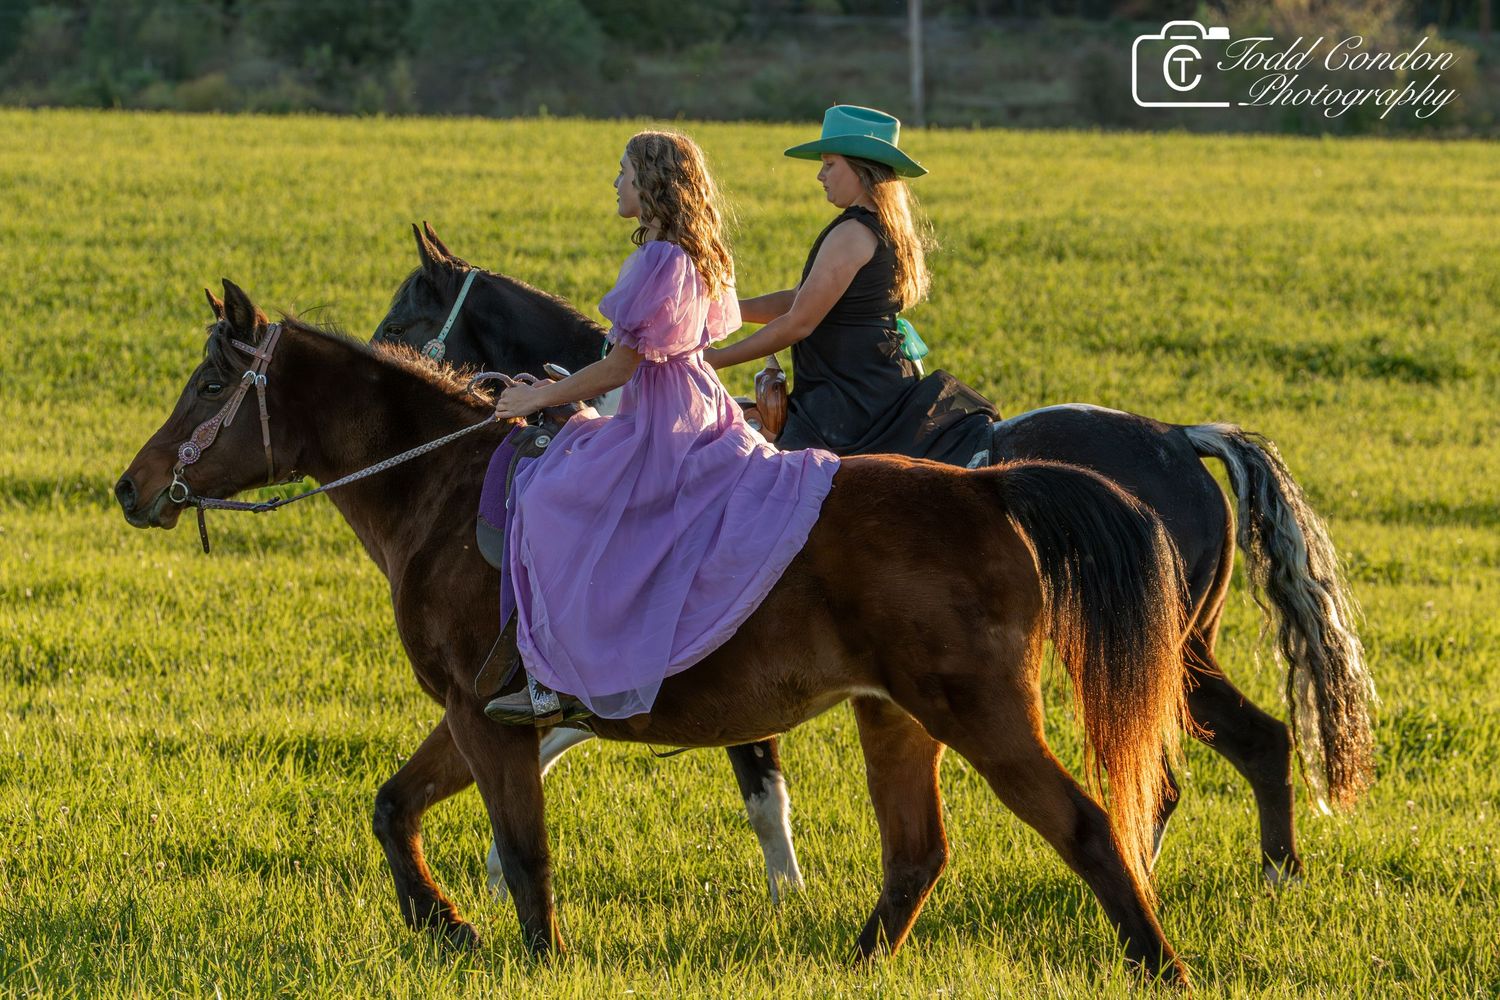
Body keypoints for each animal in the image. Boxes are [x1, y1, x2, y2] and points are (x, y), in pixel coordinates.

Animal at [120, 280, 1196, 982]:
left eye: (210, 387)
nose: (132, 487)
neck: (442, 489)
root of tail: (985, 486)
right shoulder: (480, 717)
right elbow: (394, 807)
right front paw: (447, 926)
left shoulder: (488, 717)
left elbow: (524, 851)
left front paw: (530, 953)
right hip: (894, 717)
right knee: (916, 856)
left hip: (981, 715)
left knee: (1088, 827)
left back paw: (1162, 965)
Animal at [373, 223, 1375, 887]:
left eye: (406, 308)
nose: (388, 361)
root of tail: (1178, 438)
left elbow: (662, 757)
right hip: (1171, 646)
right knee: (1245, 743)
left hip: (1148, 646)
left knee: (1201, 759)